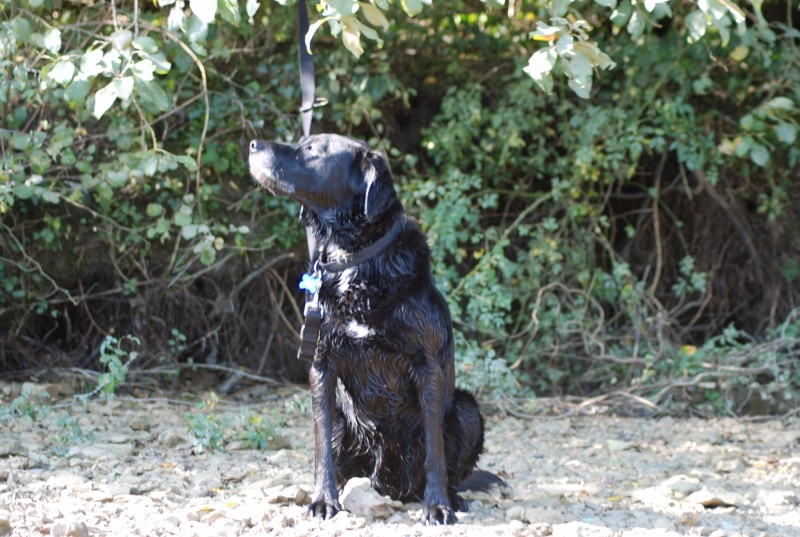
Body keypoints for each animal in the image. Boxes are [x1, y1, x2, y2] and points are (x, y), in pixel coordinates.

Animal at [250, 133, 484, 524]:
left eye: (312, 149)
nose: (253, 144)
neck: (355, 262)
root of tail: (394, 485)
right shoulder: (321, 366)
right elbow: (321, 451)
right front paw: (324, 500)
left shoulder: (428, 369)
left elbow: (435, 452)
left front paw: (437, 505)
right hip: (343, 419)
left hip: (469, 410)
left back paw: (451, 497)